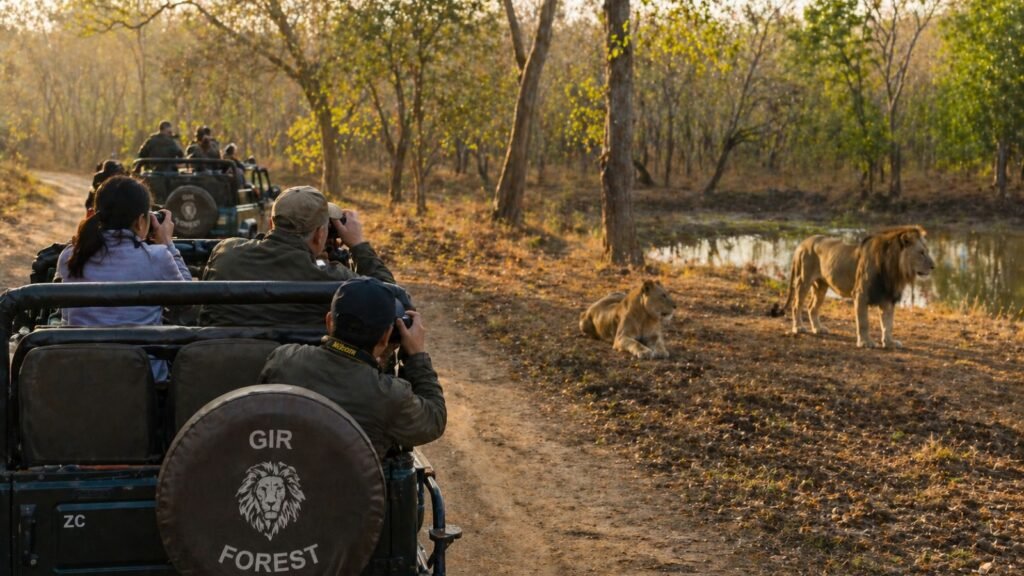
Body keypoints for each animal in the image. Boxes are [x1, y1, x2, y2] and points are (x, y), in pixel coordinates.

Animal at [783, 226, 934, 348]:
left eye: (927, 251)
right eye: (921, 252)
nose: (934, 266)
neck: (895, 269)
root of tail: (803, 242)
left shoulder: (887, 297)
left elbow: (888, 324)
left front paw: (890, 342)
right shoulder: (861, 294)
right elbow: (863, 322)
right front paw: (865, 342)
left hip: (821, 285)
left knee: (811, 307)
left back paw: (818, 328)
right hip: (804, 281)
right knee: (796, 305)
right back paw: (798, 327)